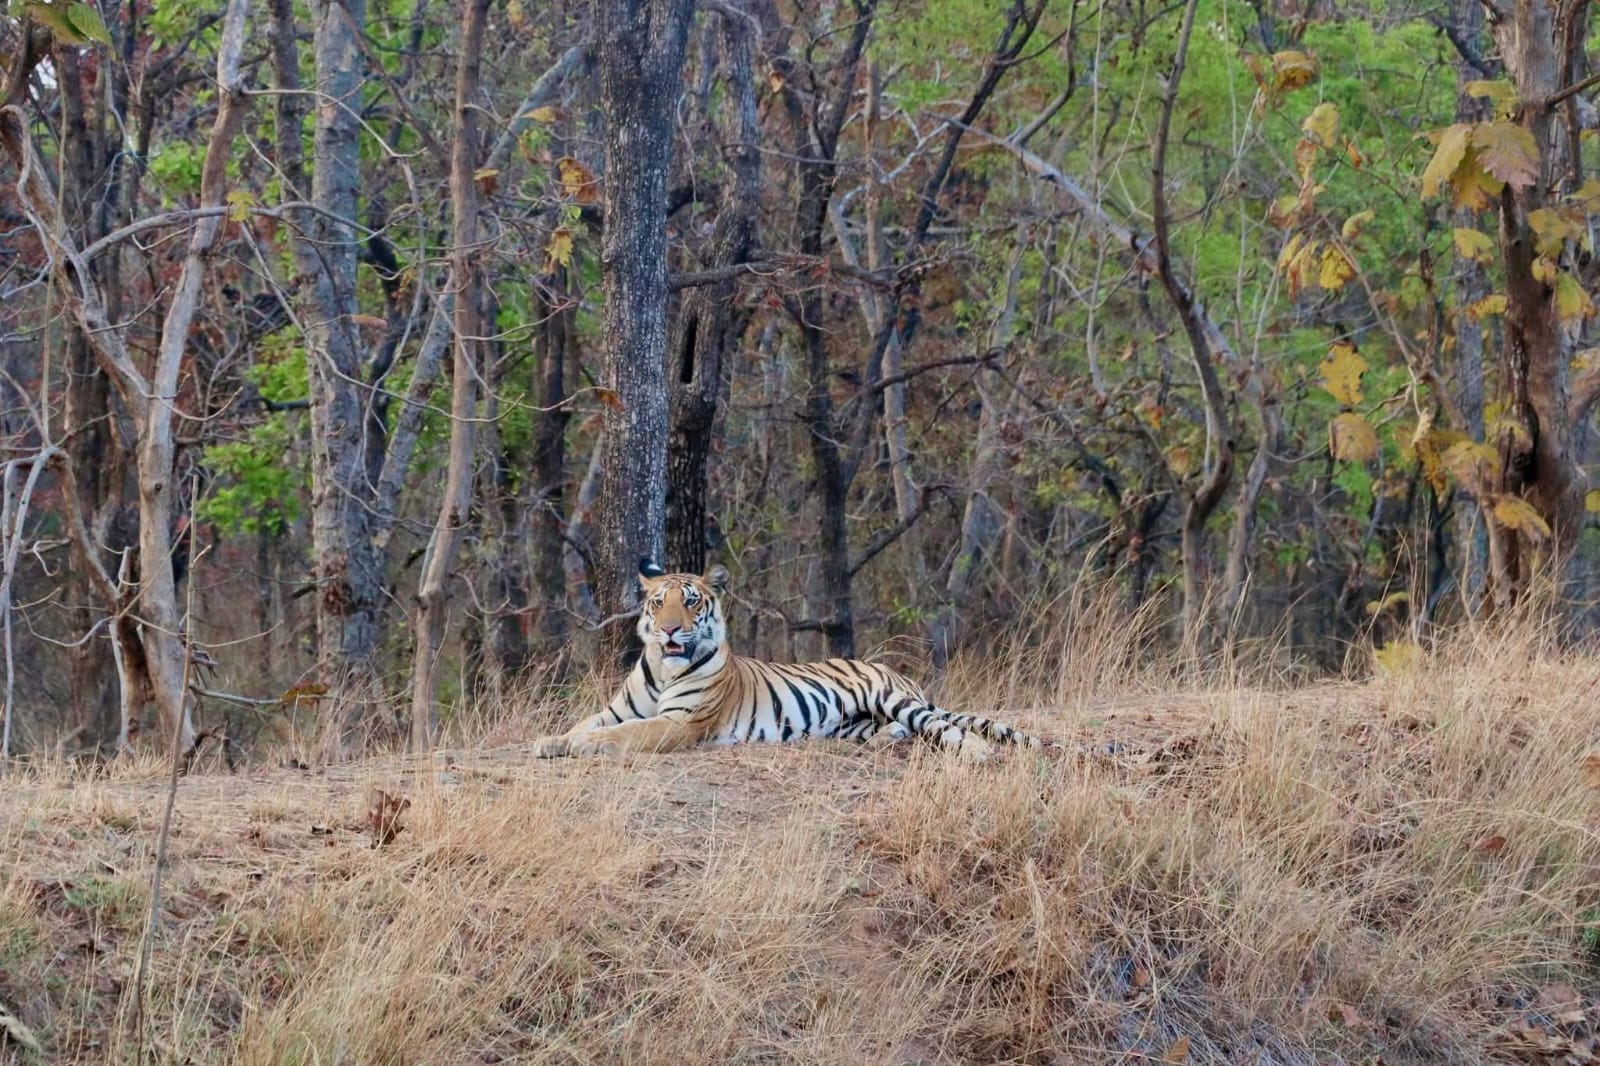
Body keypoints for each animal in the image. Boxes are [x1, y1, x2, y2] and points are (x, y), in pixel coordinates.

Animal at [530, 559, 1041, 761]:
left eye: (691, 602)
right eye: (659, 603)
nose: (671, 629)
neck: (662, 666)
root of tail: (893, 672)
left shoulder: (679, 722)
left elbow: (627, 733)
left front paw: (583, 745)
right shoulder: (616, 708)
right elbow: (588, 722)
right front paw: (552, 741)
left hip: (894, 698)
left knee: (944, 727)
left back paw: (976, 752)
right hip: (853, 724)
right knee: (901, 730)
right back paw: (886, 741)